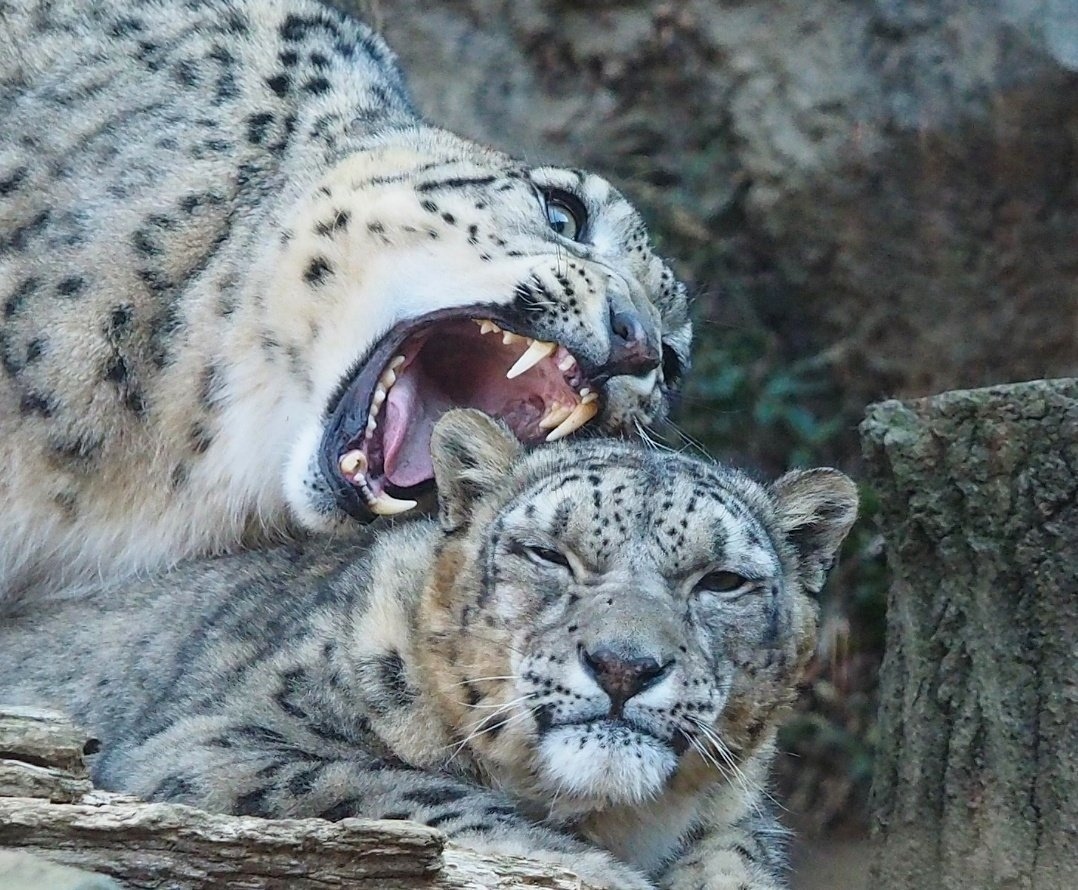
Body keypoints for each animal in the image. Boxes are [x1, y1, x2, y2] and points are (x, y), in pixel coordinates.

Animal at [0, 409, 858, 887]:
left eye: (722, 581)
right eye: (549, 554)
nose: (624, 665)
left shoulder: (733, 816)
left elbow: (735, 864)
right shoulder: (210, 744)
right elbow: (401, 788)